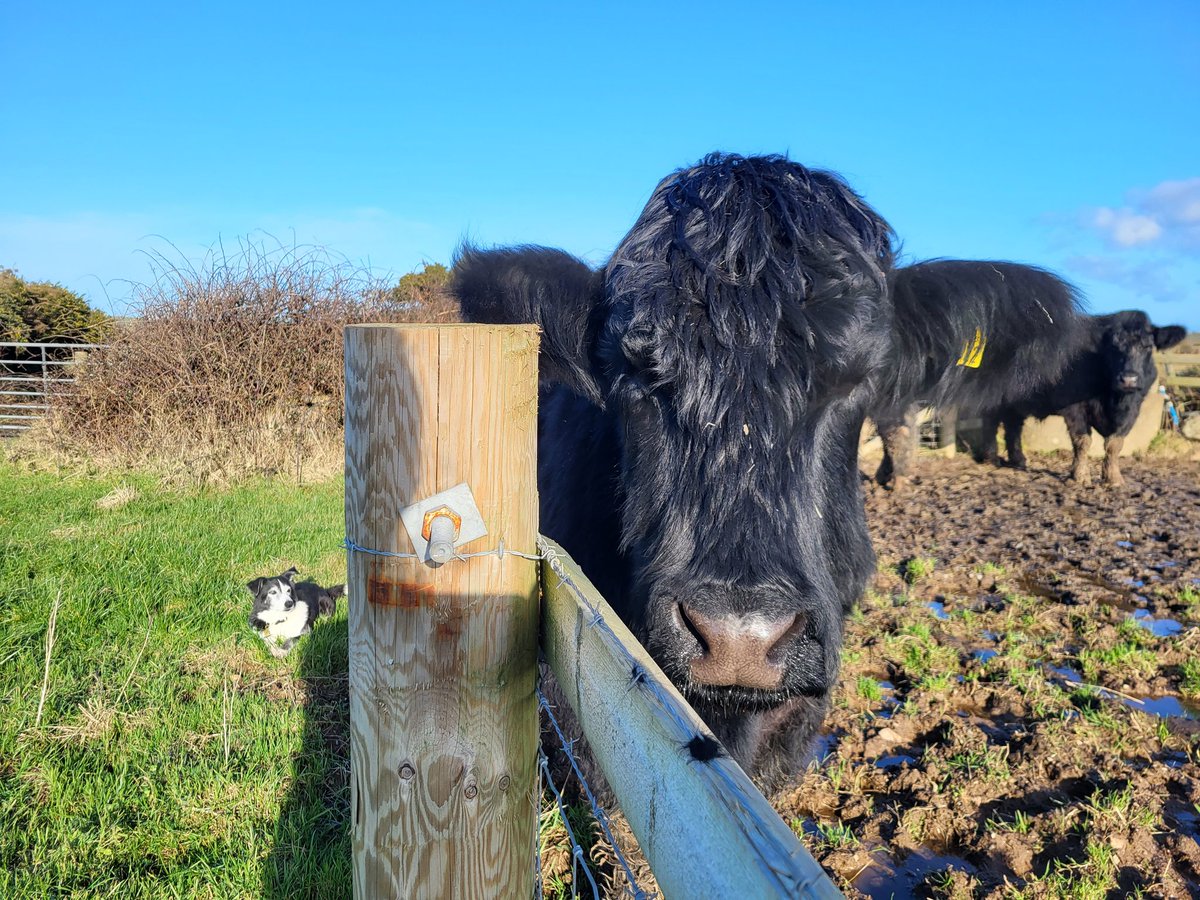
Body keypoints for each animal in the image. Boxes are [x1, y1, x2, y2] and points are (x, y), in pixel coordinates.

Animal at [979, 310, 1186, 486]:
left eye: (1148, 346)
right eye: (1112, 347)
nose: (1129, 379)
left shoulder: (1133, 410)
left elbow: (1115, 444)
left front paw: (1113, 478)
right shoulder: (1074, 408)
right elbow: (1083, 441)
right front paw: (1079, 476)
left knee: (1013, 426)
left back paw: (1018, 460)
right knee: (988, 423)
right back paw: (991, 458)